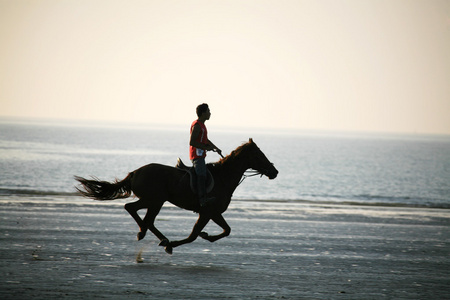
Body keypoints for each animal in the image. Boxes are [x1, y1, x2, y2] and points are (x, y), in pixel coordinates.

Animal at [74, 138, 278, 253]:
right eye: (259, 155)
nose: (274, 172)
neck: (223, 177)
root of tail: (135, 172)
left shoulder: (214, 212)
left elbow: (227, 230)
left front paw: (207, 236)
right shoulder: (207, 212)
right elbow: (194, 235)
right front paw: (180, 242)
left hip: (154, 201)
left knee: (144, 217)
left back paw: (154, 235)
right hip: (154, 200)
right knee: (134, 210)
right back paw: (150, 235)